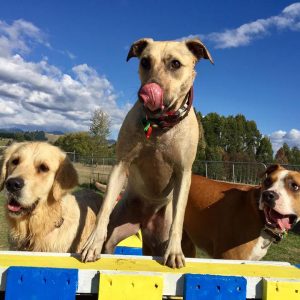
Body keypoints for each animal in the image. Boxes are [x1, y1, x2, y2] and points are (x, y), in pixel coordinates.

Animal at [82, 38, 213, 270]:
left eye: (175, 64)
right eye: (144, 61)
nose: (146, 92)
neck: (159, 125)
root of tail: (144, 221)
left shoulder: (184, 172)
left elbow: (179, 217)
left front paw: (175, 251)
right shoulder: (121, 165)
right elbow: (104, 209)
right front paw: (92, 243)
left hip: (158, 237)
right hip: (118, 229)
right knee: (110, 241)